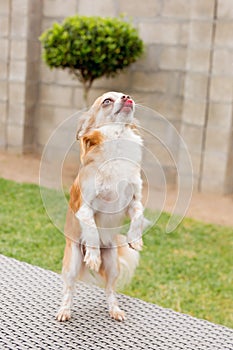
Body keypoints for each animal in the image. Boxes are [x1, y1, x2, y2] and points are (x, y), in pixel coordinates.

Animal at [56, 91, 147, 322]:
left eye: (124, 95)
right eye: (107, 101)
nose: (127, 96)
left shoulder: (133, 201)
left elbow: (138, 215)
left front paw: (135, 239)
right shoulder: (86, 208)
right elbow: (92, 231)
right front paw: (94, 256)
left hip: (113, 265)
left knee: (109, 289)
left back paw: (114, 309)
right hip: (72, 262)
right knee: (69, 288)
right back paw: (64, 310)